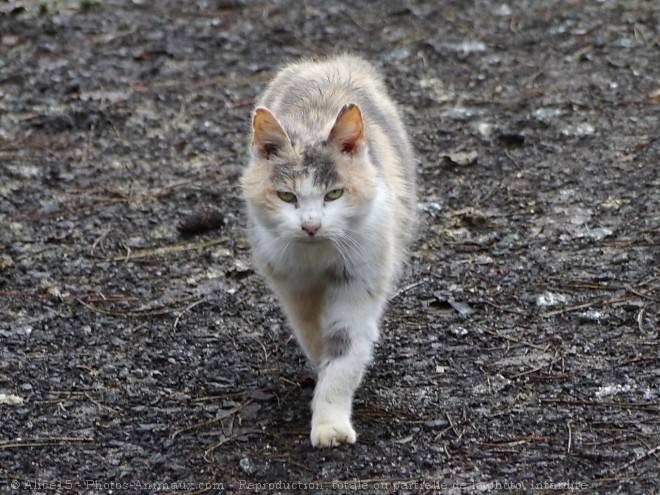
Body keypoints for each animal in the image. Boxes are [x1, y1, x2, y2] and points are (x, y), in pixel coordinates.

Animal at [241, 55, 418, 450]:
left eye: (334, 194)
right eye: (286, 196)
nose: (311, 226)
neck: (319, 256)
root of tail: (329, 62)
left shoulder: (360, 282)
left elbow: (344, 353)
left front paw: (330, 425)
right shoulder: (292, 284)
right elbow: (311, 331)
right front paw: (319, 360)